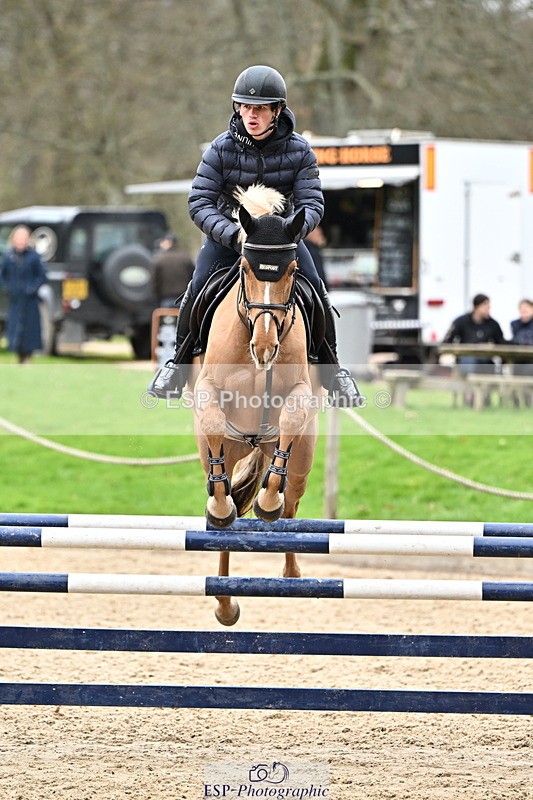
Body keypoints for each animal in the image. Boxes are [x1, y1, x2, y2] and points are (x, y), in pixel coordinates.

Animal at [191, 184, 321, 626]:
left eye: (292, 270)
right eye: (247, 269)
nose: (265, 347)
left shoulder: (300, 391)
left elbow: (292, 419)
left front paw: (267, 500)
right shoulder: (208, 390)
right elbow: (214, 420)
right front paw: (221, 505)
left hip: (302, 461)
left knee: (291, 507)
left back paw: (292, 572)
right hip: (224, 453)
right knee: (225, 511)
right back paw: (224, 601)